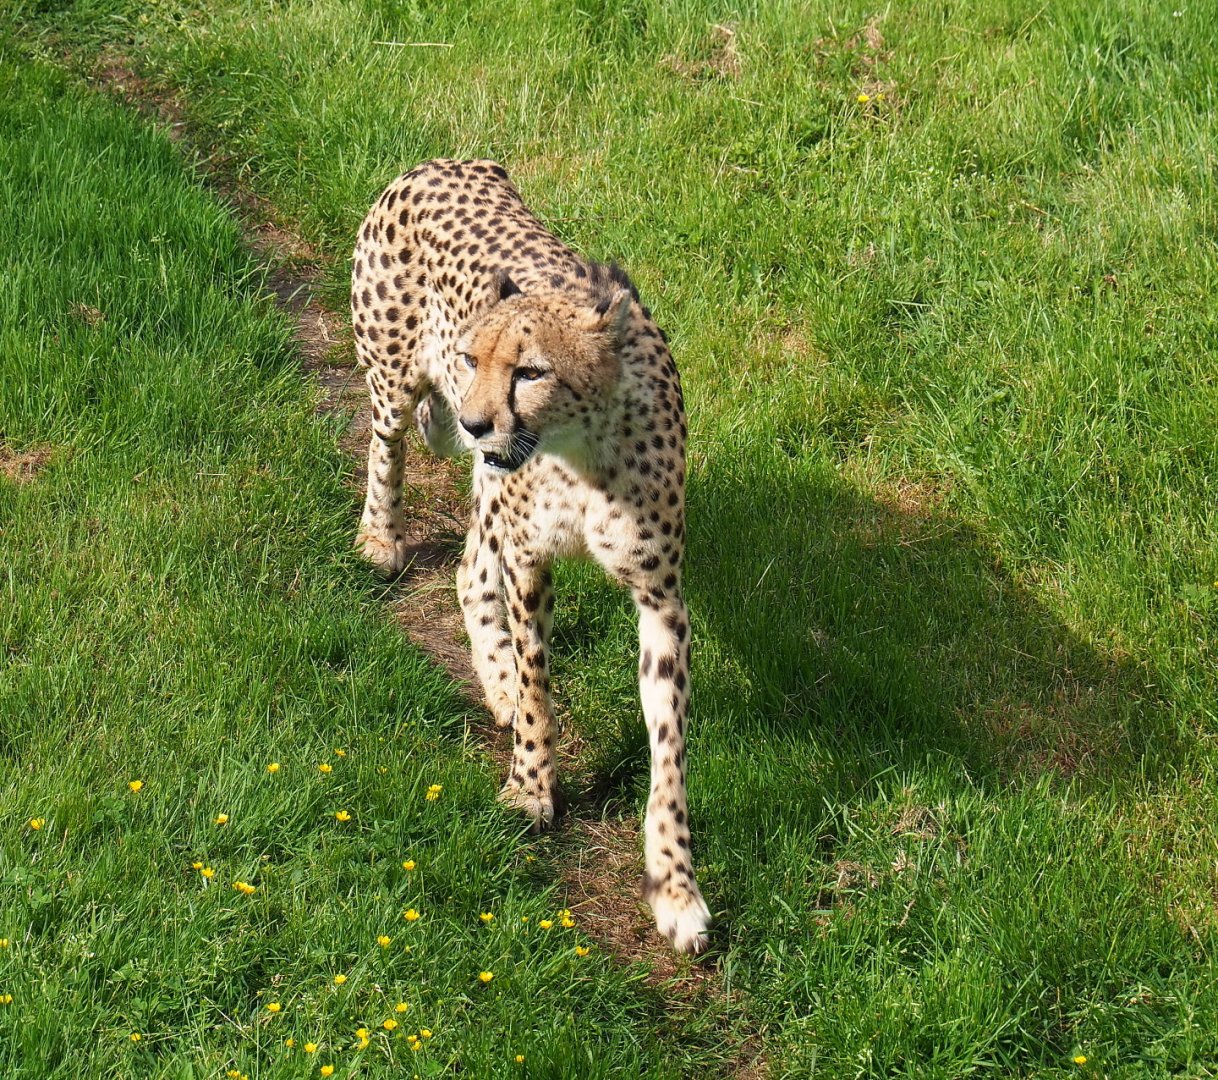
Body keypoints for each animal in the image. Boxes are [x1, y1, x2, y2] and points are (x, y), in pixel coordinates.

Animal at [351, 158, 710, 954]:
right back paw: (380, 539)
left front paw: (674, 885)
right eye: (471, 357)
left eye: (531, 372)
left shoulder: (661, 596)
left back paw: (496, 686)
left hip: (490, 484)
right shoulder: (531, 557)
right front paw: (531, 787)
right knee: (386, 445)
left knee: (468, 570)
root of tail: (447, 161)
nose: (475, 421)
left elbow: (668, 749)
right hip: (397, 385)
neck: (586, 452)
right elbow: (540, 675)